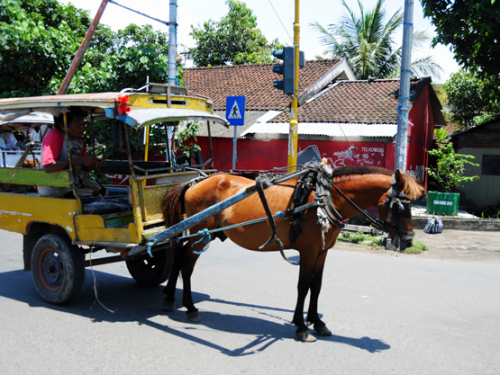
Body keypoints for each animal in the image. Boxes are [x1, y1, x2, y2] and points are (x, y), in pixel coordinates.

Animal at [160, 167, 422, 344]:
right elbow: (303, 286)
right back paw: (190, 307)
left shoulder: (322, 252)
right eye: (401, 206)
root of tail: (195, 182)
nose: (409, 240)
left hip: (204, 234)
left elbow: (316, 286)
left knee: (178, 256)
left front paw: (317, 322)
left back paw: (170, 297)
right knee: (186, 265)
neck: (325, 199)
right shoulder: (308, 251)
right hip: (199, 234)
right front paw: (301, 327)